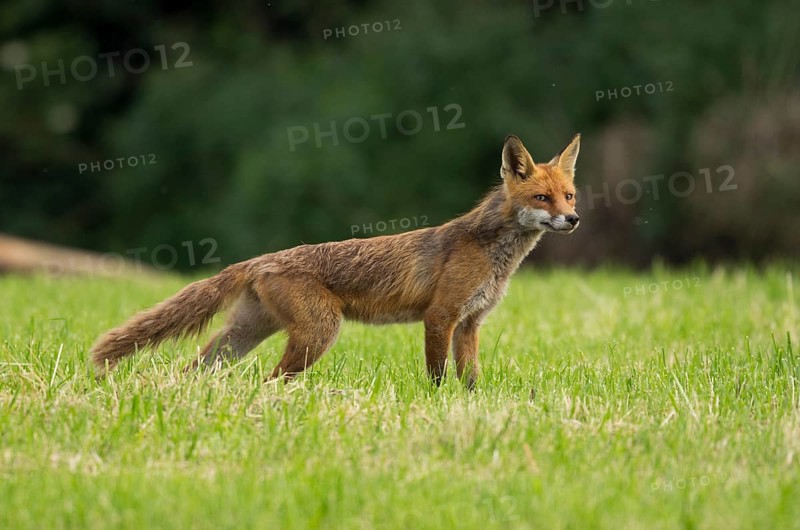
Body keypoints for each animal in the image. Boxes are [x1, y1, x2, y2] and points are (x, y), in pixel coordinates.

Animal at [90, 134, 581, 388]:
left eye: (569, 195)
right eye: (542, 198)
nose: (574, 219)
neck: (492, 253)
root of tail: (260, 259)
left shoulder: (471, 323)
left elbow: (471, 378)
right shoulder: (440, 316)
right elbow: (438, 376)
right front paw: (438, 403)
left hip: (244, 335)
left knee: (196, 369)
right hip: (318, 333)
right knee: (270, 379)